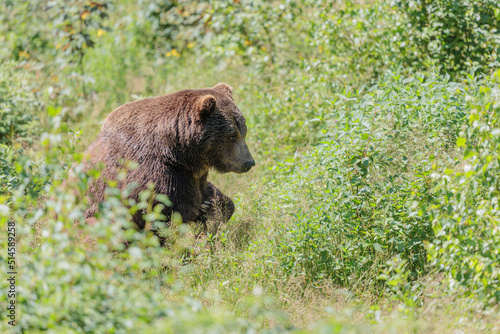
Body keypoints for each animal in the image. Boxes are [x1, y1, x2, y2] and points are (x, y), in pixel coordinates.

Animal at [82, 82, 256, 231]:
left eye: (243, 132)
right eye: (232, 136)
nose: (249, 162)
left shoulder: (193, 174)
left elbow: (215, 197)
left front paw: (212, 206)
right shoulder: (153, 173)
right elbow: (163, 213)